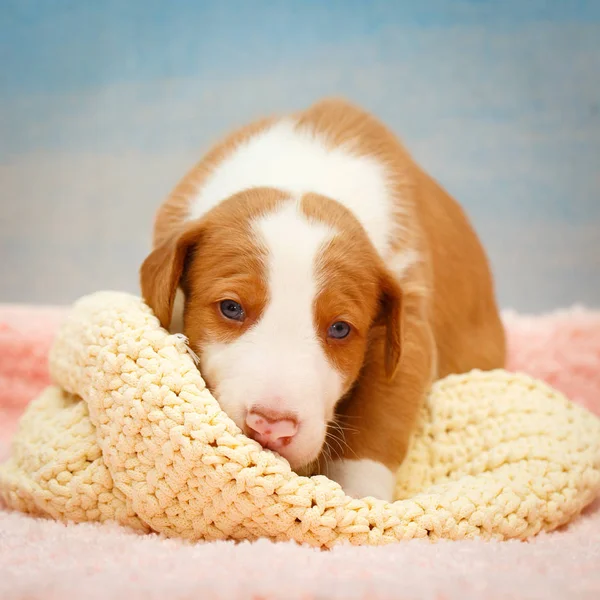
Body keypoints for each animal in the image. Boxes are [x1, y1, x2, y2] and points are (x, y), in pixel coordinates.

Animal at [138, 98, 504, 502]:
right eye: (231, 308)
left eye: (340, 328)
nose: (272, 425)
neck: (303, 173)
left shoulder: (408, 326)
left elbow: (381, 418)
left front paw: (361, 501)